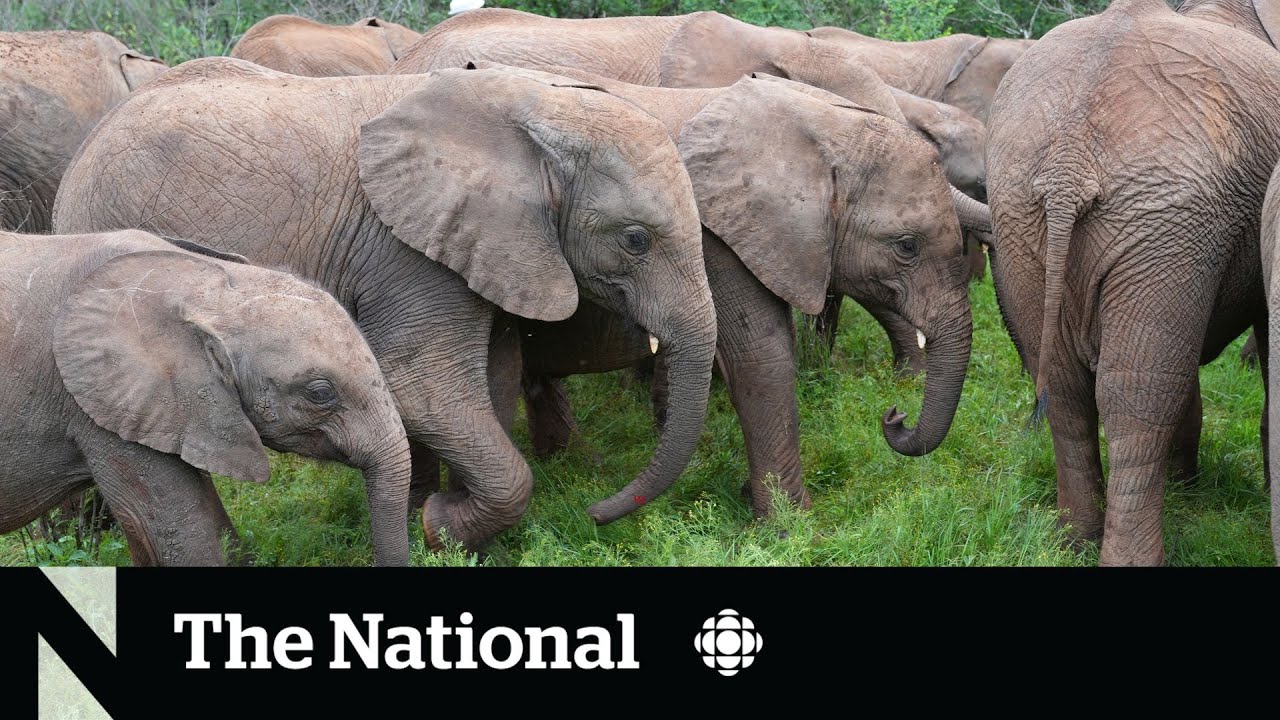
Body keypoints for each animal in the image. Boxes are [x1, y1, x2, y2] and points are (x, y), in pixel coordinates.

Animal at [53, 61, 717, 549]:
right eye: (635, 240)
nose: (594, 511)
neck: (532, 108)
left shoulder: (486, 247)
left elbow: (493, 376)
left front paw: (443, 522)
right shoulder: (407, 250)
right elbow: (422, 388)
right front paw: (440, 525)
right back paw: (80, 547)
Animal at [496, 66, 986, 514]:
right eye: (907, 247)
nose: (895, 415)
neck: (818, 128)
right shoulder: (716, 236)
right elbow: (760, 355)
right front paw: (788, 525)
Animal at [986, 0, 1280, 566]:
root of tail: (1068, 163)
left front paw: (1185, 485)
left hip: (1023, 213)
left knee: (1067, 385)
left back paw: (1073, 540)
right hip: (1166, 220)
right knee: (1138, 395)